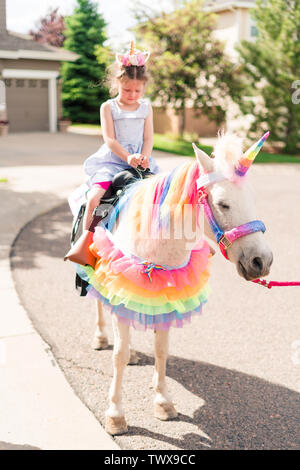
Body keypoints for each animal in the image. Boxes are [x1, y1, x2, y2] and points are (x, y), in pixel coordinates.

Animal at [81, 130, 274, 436]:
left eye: (253, 199)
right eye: (223, 203)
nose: (261, 261)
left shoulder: (165, 297)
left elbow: (161, 351)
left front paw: (163, 402)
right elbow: (118, 356)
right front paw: (115, 414)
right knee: (100, 306)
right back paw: (100, 337)